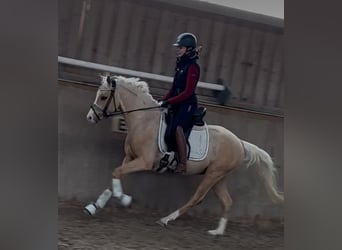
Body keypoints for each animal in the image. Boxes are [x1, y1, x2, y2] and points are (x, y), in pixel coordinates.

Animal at [84, 75, 282, 235]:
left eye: (103, 97)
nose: (90, 117)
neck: (143, 120)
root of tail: (240, 142)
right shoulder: (130, 158)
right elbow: (115, 175)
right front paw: (94, 206)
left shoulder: (144, 161)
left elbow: (116, 173)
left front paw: (125, 199)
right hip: (219, 177)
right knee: (227, 202)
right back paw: (217, 232)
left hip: (214, 174)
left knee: (197, 198)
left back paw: (166, 219)